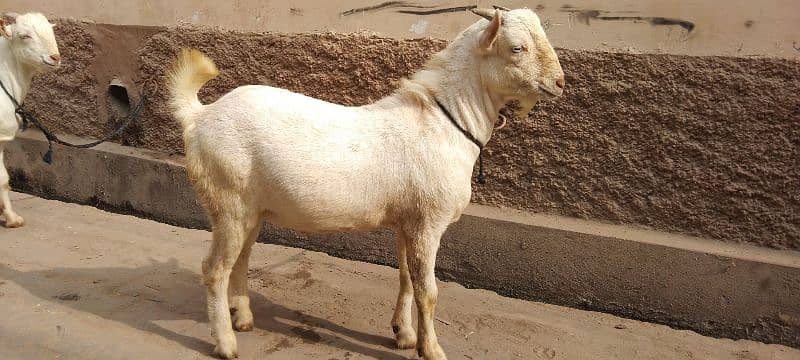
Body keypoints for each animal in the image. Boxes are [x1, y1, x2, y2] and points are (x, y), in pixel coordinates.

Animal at [167, 8, 564, 360]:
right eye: (517, 48)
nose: (560, 83)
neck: (444, 122)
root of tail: (199, 116)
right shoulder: (428, 222)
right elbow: (428, 291)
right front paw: (432, 350)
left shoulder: (407, 221)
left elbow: (406, 278)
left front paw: (403, 335)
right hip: (229, 203)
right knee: (214, 270)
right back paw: (226, 343)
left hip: (251, 209)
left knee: (241, 259)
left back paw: (244, 318)